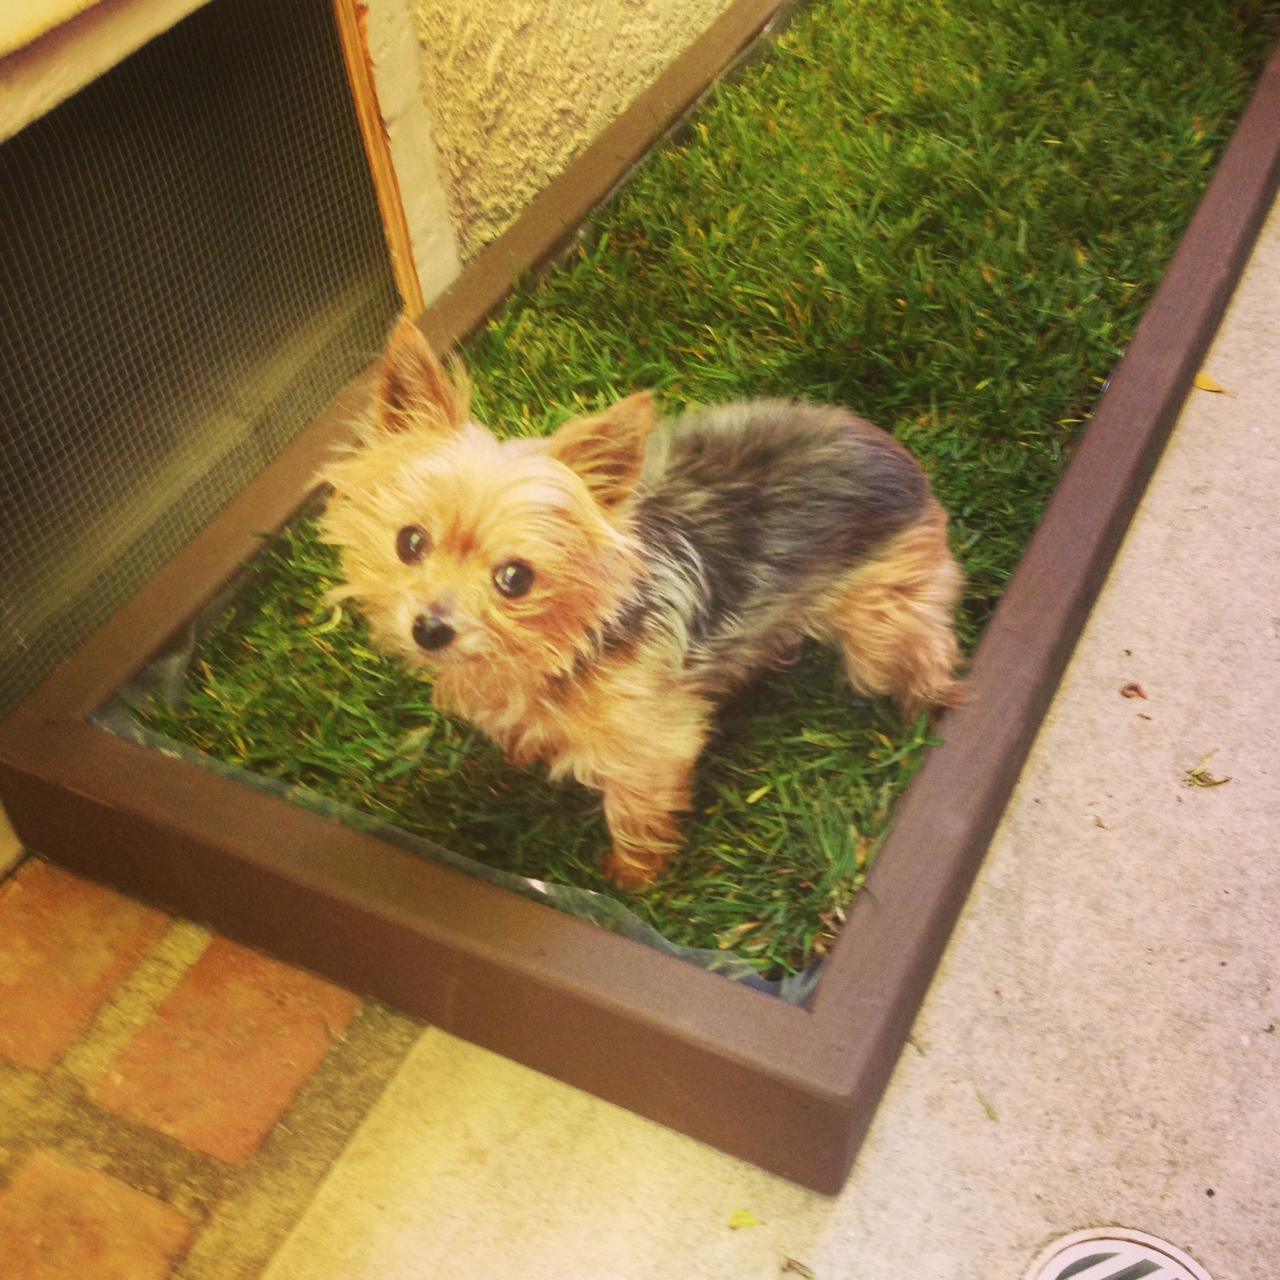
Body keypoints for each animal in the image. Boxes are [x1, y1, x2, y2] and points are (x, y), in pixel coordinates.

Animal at [320, 320, 962, 885]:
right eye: (410, 543)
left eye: (514, 578)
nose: (430, 628)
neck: (568, 640)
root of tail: (889, 448)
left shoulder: (651, 747)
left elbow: (636, 807)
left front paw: (633, 876)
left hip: (882, 619)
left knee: (922, 648)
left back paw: (926, 714)